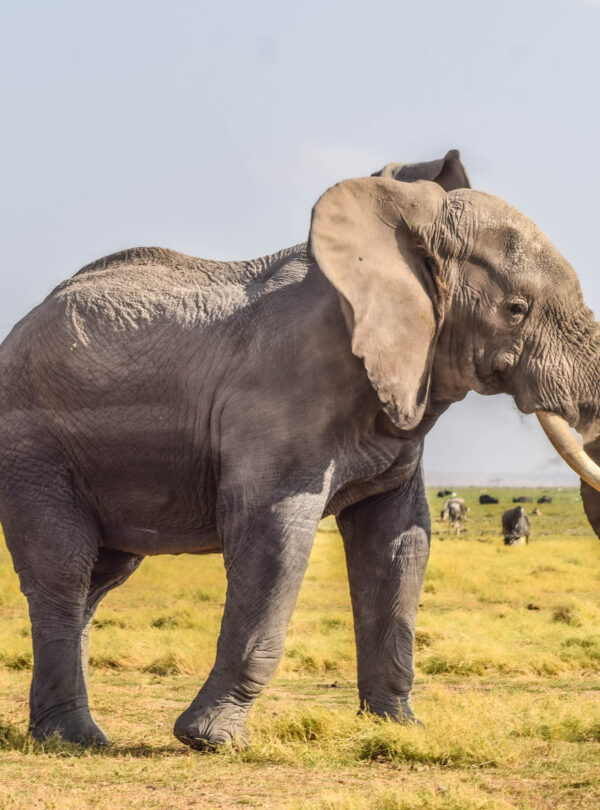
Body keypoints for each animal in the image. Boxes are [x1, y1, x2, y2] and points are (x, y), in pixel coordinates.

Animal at [2, 147, 600, 751]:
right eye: (517, 309)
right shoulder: (282, 396)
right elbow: (274, 538)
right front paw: (212, 741)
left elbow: (399, 542)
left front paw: (401, 726)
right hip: (33, 447)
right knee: (64, 570)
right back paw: (74, 738)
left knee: (100, 578)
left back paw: (71, 735)